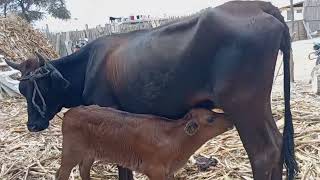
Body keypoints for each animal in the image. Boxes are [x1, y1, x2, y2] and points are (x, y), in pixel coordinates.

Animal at [55, 105, 232, 180]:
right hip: (71, 152)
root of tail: (70, 112)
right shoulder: (155, 171)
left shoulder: (168, 171)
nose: (229, 117)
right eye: (210, 119)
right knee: (62, 173)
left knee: (83, 169)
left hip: (89, 153)